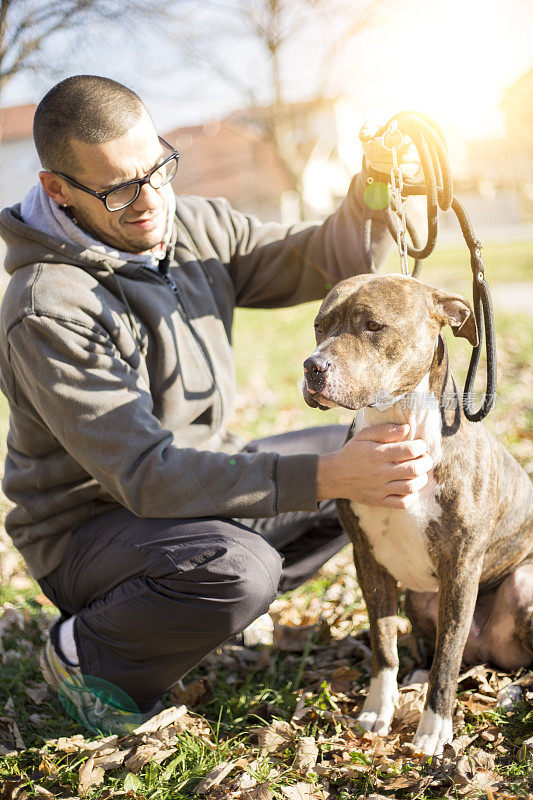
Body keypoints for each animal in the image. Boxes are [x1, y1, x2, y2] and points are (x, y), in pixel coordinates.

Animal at [302, 276, 528, 756]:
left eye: (372, 325)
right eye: (319, 326)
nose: (312, 367)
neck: (397, 423)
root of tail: (491, 654)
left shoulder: (461, 567)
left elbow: (448, 659)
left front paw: (433, 730)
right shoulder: (368, 561)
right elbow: (384, 645)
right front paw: (377, 710)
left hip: (521, 582)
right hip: (418, 599)